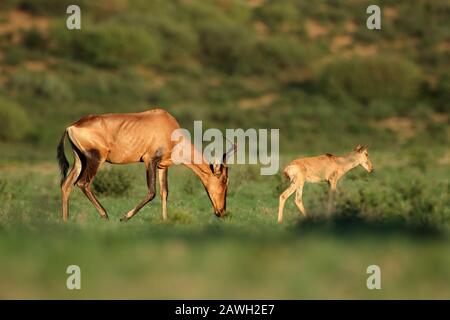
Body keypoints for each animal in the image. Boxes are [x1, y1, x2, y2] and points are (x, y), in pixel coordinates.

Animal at [56, 109, 236, 221]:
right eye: (224, 180)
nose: (221, 211)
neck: (168, 126)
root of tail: (72, 126)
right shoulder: (150, 160)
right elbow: (152, 192)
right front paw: (124, 217)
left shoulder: (162, 166)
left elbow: (164, 192)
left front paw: (165, 220)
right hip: (96, 159)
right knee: (83, 183)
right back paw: (105, 215)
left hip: (80, 160)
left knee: (66, 185)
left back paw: (66, 221)